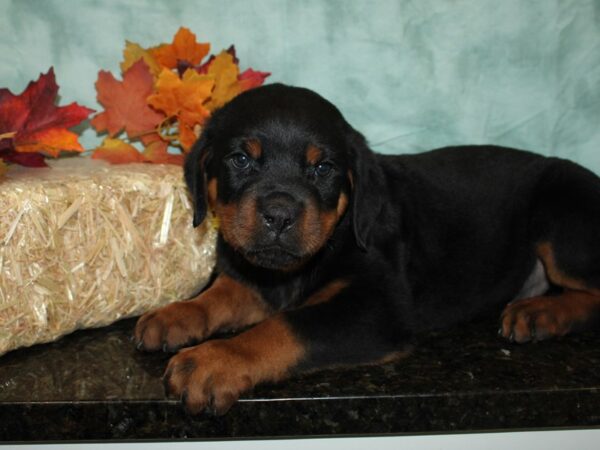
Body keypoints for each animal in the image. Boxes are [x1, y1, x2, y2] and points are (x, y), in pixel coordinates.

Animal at [134, 83, 600, 414]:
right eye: (241, 159)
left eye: (323, 168)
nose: (280, 215)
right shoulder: (256, 279)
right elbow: (220, 294)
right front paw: (174, 314)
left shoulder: (377, 308)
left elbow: (286, 326)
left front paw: (213, 360)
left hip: (560, 216)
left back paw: (540, 314)